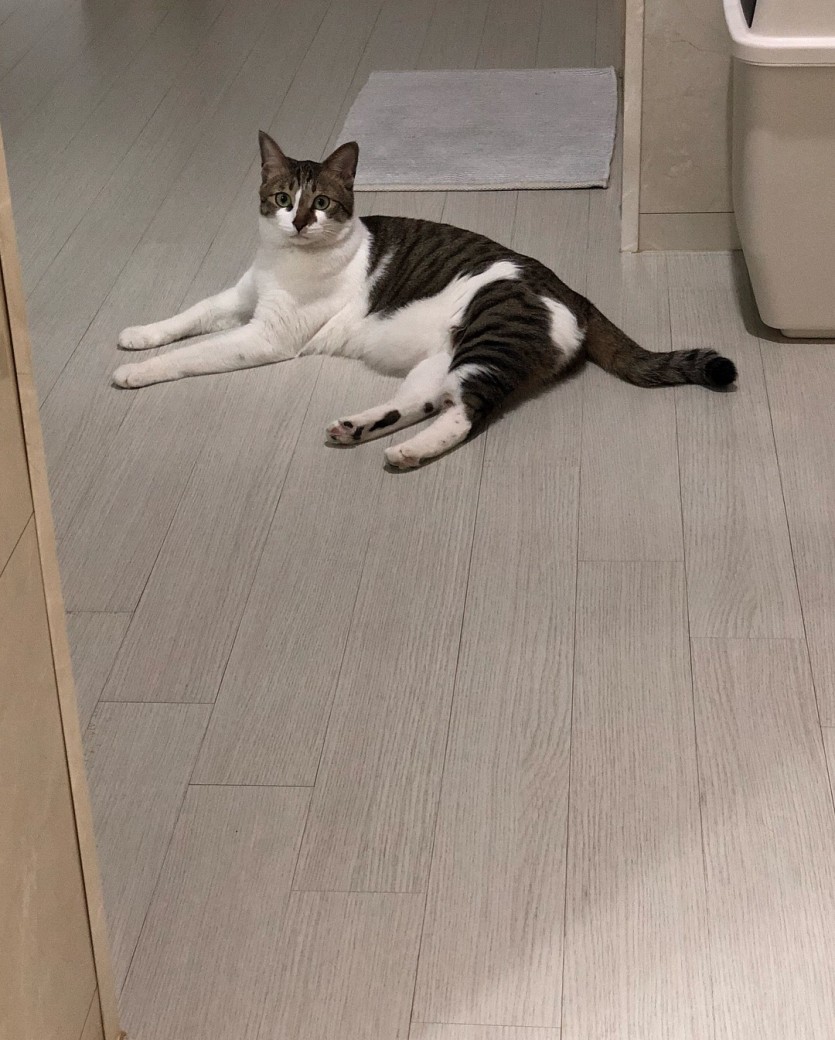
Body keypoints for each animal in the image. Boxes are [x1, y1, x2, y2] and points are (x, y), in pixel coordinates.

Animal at [112, 131, 737, 470]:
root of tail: (574, 293)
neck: (283, 260)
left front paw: (134, 373)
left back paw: (408, 453)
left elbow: (195, 353)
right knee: (426, 400)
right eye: (283, 197)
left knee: (465, 412)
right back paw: (358, 428)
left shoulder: (267, 334)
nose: (297, 222)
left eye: (322, 203)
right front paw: (137, 335)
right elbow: (189, 316)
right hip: (441, 360)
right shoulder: (242, 295)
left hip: (490, 339)